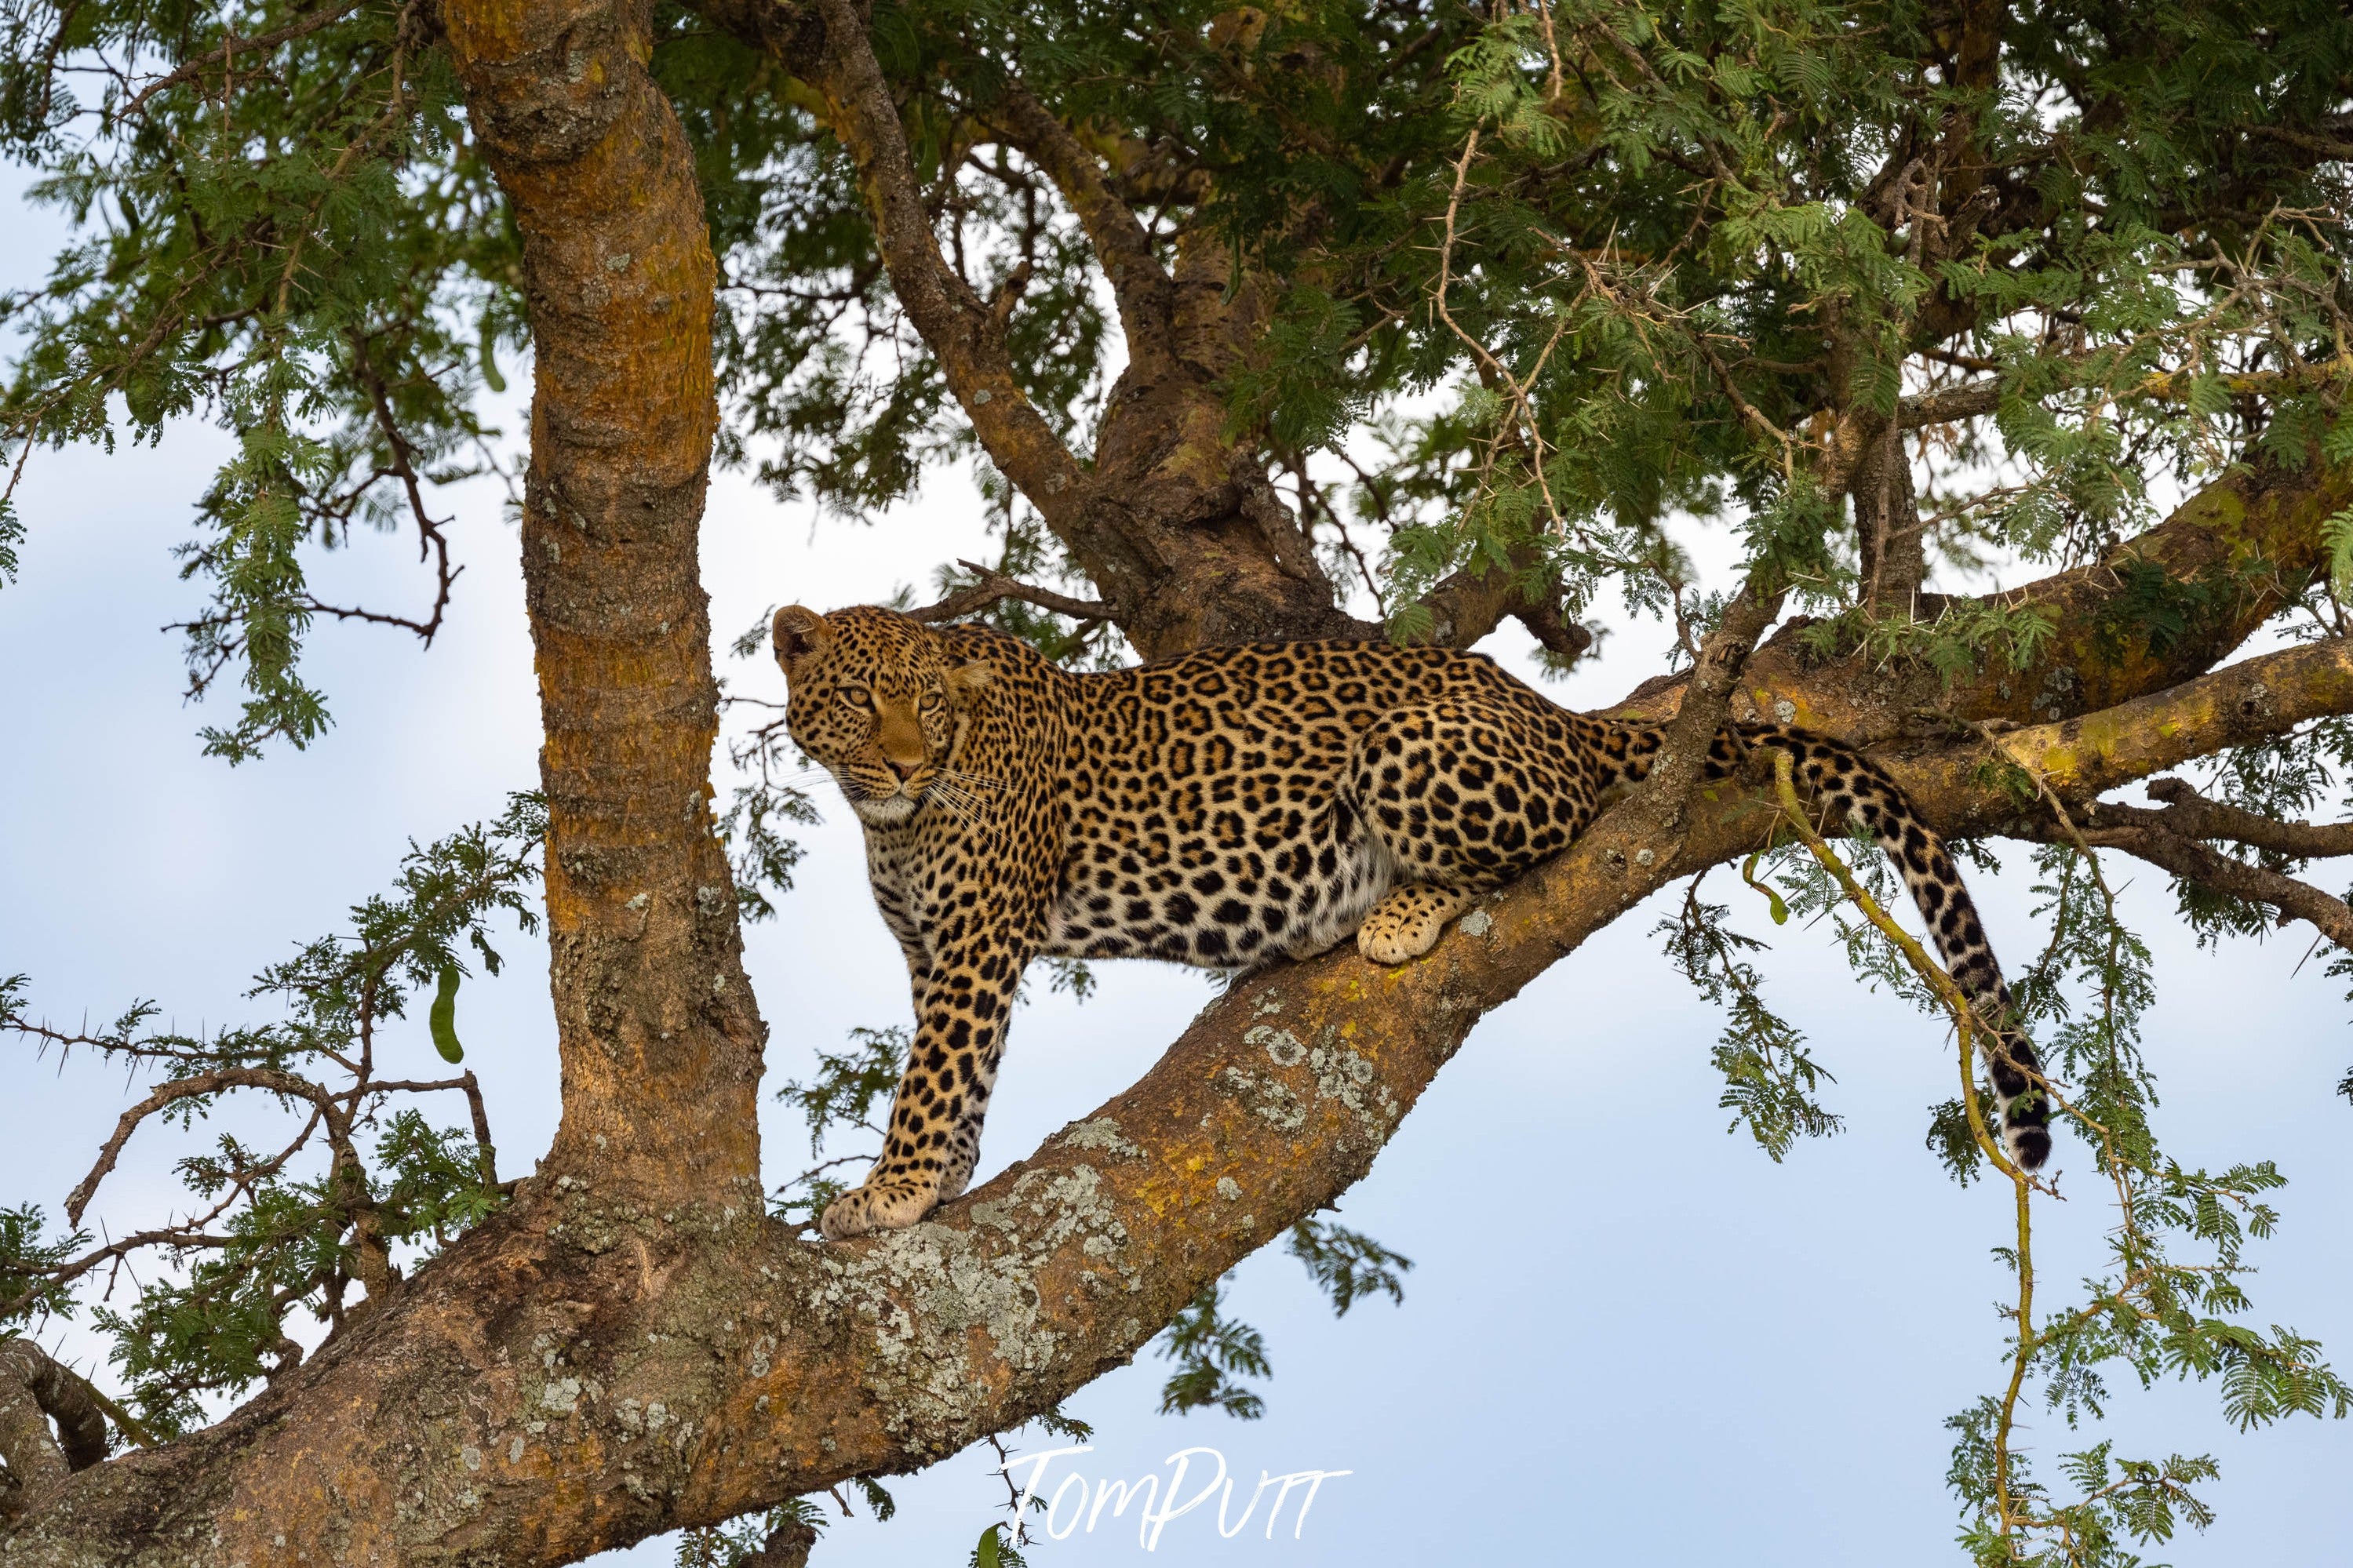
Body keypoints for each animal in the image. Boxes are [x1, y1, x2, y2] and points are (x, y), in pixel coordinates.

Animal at [771, 602, 2053, 1239]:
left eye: (923, 706)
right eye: (860, 701)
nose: (903, 761)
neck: (889, 815)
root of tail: (1549, 707)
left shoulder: (977, 940)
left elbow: (932, 1075)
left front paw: (887, 1193)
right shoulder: (937, 950)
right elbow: (966, 1080)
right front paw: (940, 1181)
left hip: (1409, 750)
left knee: (1563, 828)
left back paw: (1397, 910)